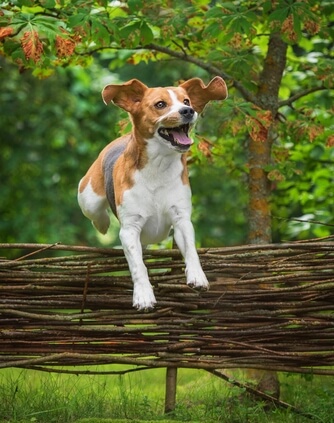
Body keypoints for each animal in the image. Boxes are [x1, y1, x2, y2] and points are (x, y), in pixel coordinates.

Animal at [78, 76, 228, 310]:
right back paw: (102, 223)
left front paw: (198, 277)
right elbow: (139, 266)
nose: (188, 111)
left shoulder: (181, 219)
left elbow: (191, 250)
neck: (158, 166)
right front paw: (143, 295)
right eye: (160, 104)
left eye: (186, 100)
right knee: (96, 214)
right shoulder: (129, 229)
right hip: (88, 196)